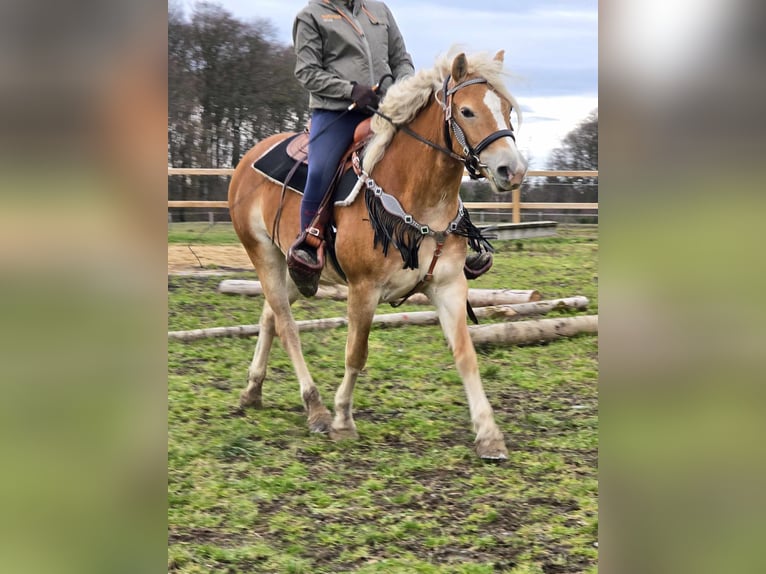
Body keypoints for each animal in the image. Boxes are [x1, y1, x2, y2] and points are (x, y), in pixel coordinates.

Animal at [228, 50, 528, 464]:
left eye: (508, 109)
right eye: (466, 111)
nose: (511, 170)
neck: (418, 197)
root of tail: (247, 160)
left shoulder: (450, 286)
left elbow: (465, 354)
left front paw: (489, 435)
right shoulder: (363, 289)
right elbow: (356, 353)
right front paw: (342, 420)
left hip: (294, 270)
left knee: (270, 317)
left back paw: (252, 391)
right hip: (263, 255)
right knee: (287, 327)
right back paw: (315, 408)